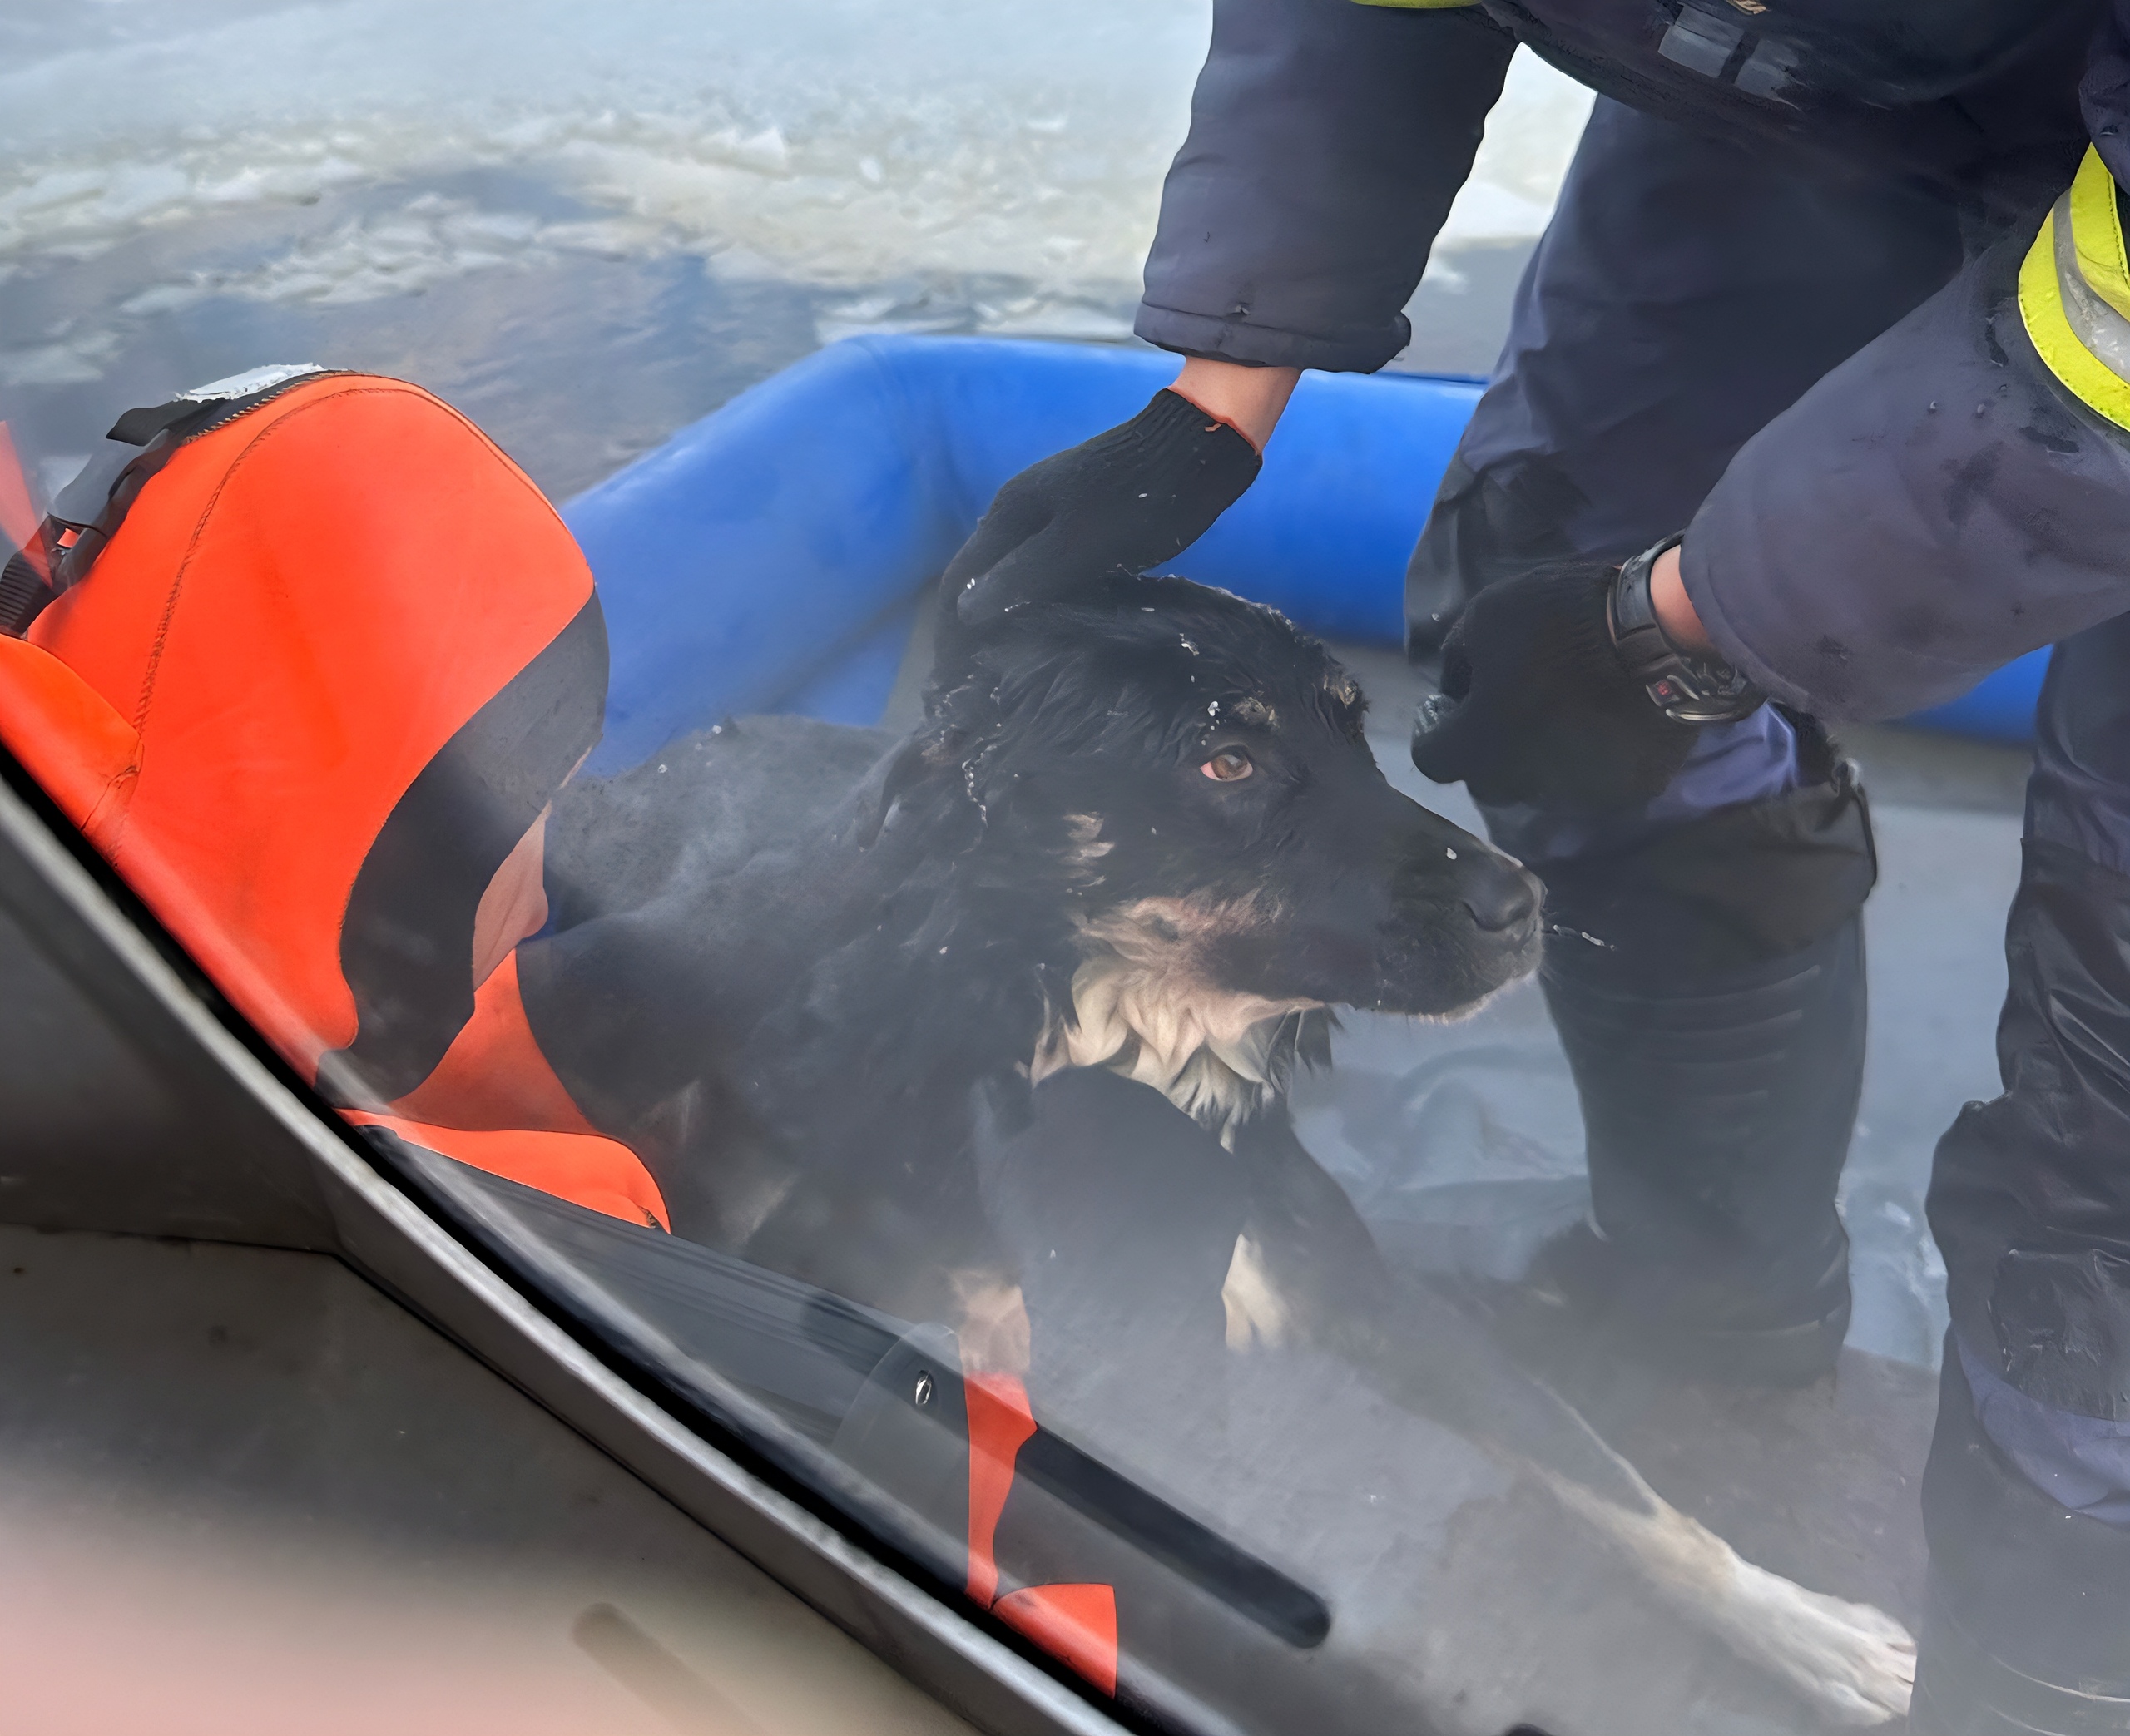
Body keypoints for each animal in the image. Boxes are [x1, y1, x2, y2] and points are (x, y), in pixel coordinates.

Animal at [522, 571, 1915, 1726]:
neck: (1147, 1053)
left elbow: (1613, 1479)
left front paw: (1811, 1630)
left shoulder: (1360, 1284)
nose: (1522, 903)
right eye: (1226, 759)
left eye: (1357, 732)